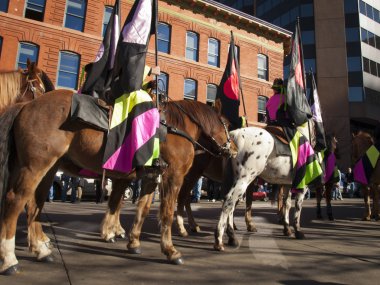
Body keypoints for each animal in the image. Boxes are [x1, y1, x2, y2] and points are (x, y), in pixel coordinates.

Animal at [0, 90, 235, 272]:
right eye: (227, 124)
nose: (233, 149)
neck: (176, 128)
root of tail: (26, 105)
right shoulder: (172, 176)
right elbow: (166, 212)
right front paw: (170, 250)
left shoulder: (149, 177)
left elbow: (140, 208)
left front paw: (132, 241)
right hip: (35, 166)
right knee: (15, 201)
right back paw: (10, 258)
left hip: (47, 167)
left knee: (34, 204)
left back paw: (40, 249)